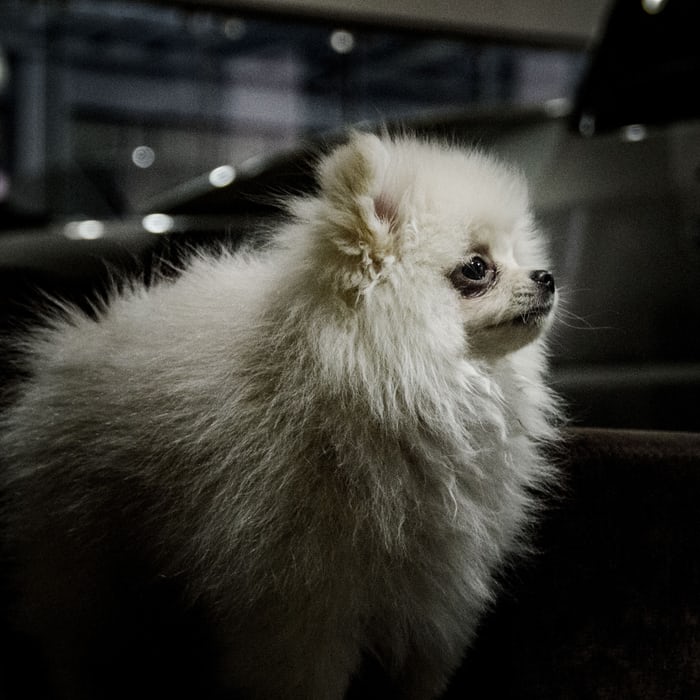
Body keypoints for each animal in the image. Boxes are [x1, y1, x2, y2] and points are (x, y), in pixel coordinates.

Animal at [0, 133, 556, 700]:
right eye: (477, 268)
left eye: (521, 255)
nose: (547, 277)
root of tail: (75, 342)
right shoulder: (299, 600)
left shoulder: (435, 593)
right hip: (87, 561)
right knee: (79, 639)